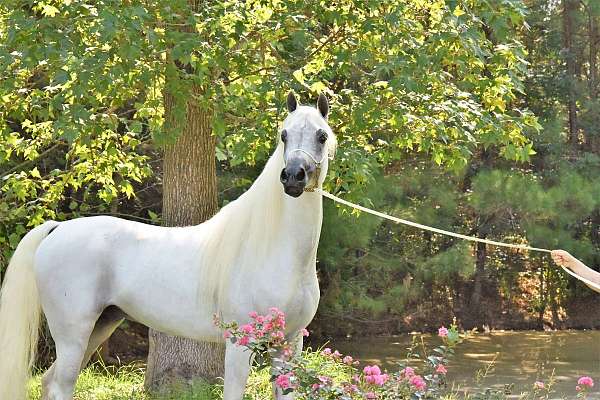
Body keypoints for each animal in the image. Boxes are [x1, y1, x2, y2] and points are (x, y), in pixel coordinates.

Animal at [0, 92, 336, 398]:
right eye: (284, 134)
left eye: (321, 136)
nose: (293, 177)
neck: (276, 253)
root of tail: (56, 229)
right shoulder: (239, 345)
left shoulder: (289, 344)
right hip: (74, 334)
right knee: (60, 385)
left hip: (100, 325)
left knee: (49, 382)